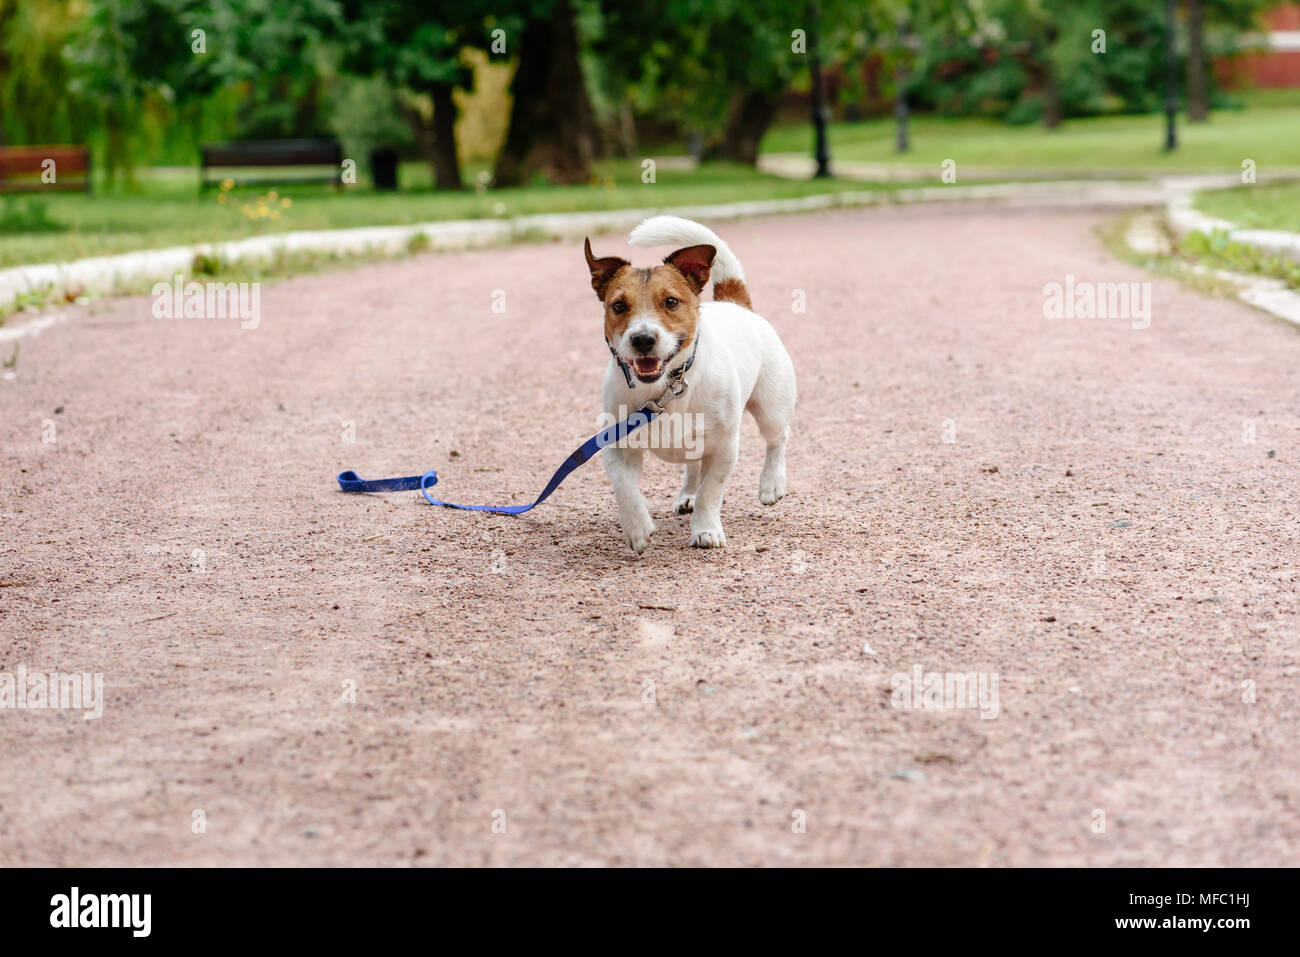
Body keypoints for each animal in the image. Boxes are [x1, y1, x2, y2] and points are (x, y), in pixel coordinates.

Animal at [587, 213, 790, 548]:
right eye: (618, 306)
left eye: (671, 302)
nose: (643, 339)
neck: (663, 391)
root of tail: (735, 303)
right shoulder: (617, 446)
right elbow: (624, 488)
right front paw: (637, 527)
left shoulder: (724, 448)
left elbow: (712, 492)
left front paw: (706, 530)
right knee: (693, 467)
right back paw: (688, 494)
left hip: (771, 407)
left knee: (777, 440)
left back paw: (771, 483)